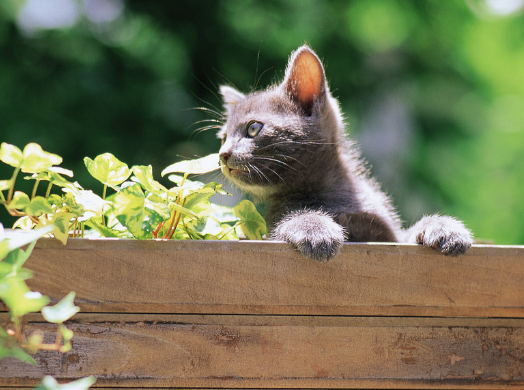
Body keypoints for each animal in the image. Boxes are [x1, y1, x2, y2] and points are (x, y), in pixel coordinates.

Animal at [216, 44, 470, 260]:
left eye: (253, 128)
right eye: (224, 138)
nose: (223, 154)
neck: (333, 195)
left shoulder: (390, 237)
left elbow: (407, 234)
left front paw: (444, 228)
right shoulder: (273, 228)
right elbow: (292, 220)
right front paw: (314, 228)